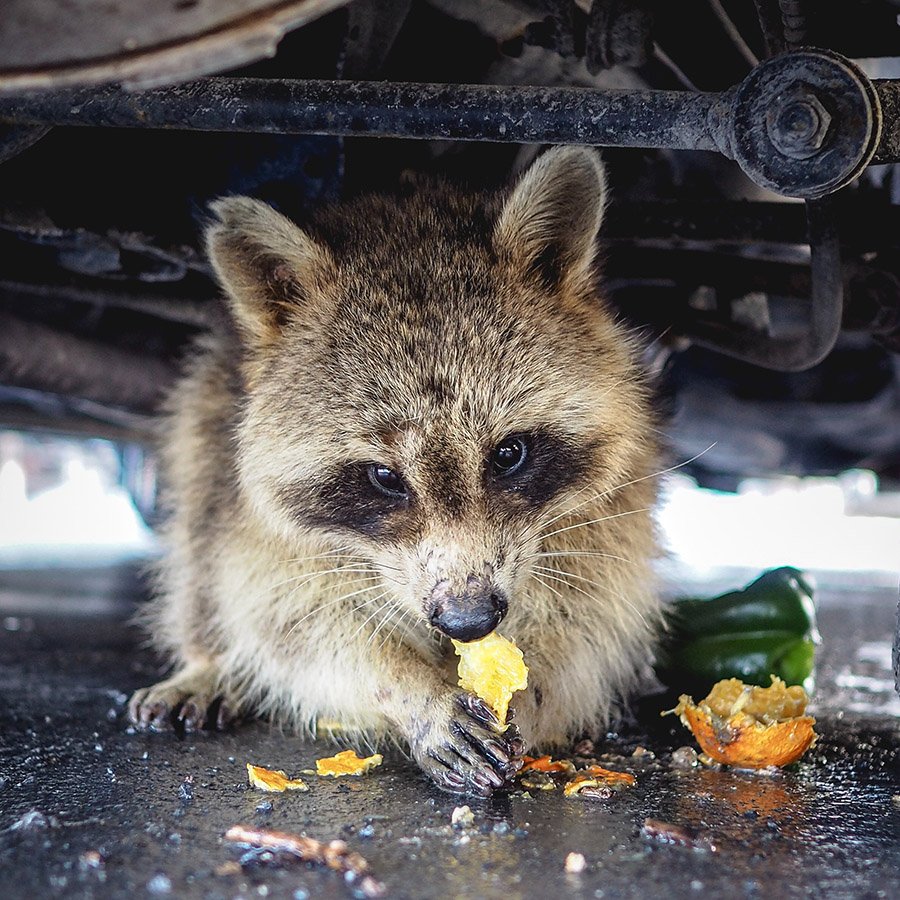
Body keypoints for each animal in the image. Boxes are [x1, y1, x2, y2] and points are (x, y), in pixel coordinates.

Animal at [129, 146, 662, 796]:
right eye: (385, 477)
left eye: (509, 453)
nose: (468, 619)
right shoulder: (260, 525)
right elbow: (293, 624)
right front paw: (412, 691)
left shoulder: (612, 509)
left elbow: (590, 615)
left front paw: (533, 686)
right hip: (207, 416)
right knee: (199, 548)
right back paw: (210, 662)